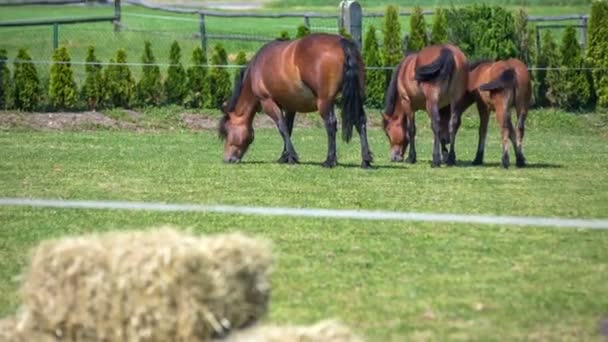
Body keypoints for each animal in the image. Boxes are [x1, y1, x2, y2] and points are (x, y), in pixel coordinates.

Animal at [216, 32, 372, 168]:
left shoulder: (268, 102)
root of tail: (342, 42)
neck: (256, 69)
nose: (228, 159)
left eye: (227, 132)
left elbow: (282, 127)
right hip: (356, 99)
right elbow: (288, 128)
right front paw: (284, 156)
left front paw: (292, 156)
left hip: (325, 102)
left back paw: (329, 160)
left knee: (331, 124)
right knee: (360, 121)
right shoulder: (290, 106)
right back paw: (366, 160)